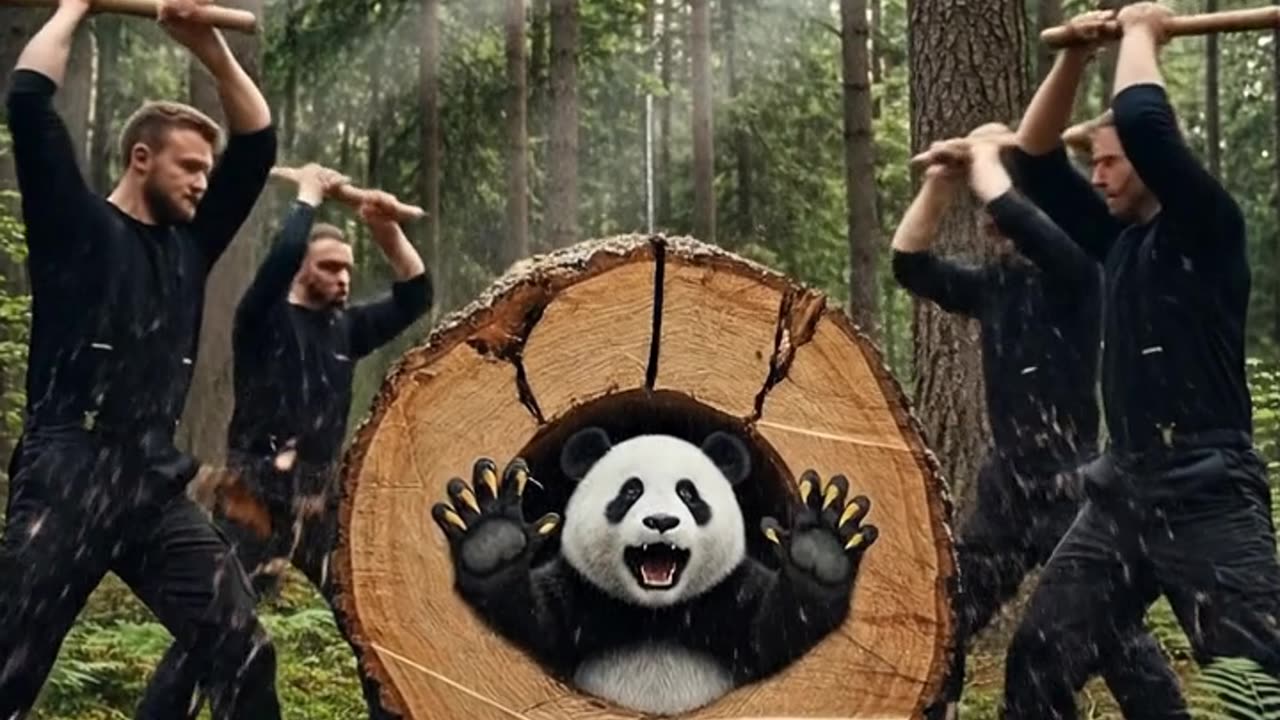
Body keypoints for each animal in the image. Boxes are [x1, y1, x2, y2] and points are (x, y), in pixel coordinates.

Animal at [430, 427, 879, 715]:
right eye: (630, 491)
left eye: (689, 493)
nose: (661, 521)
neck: (656, 615)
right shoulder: (582, 597)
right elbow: (535, 623)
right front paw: (493, 540)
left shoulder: (727, 597)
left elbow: (772, 632)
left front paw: (820, 549)